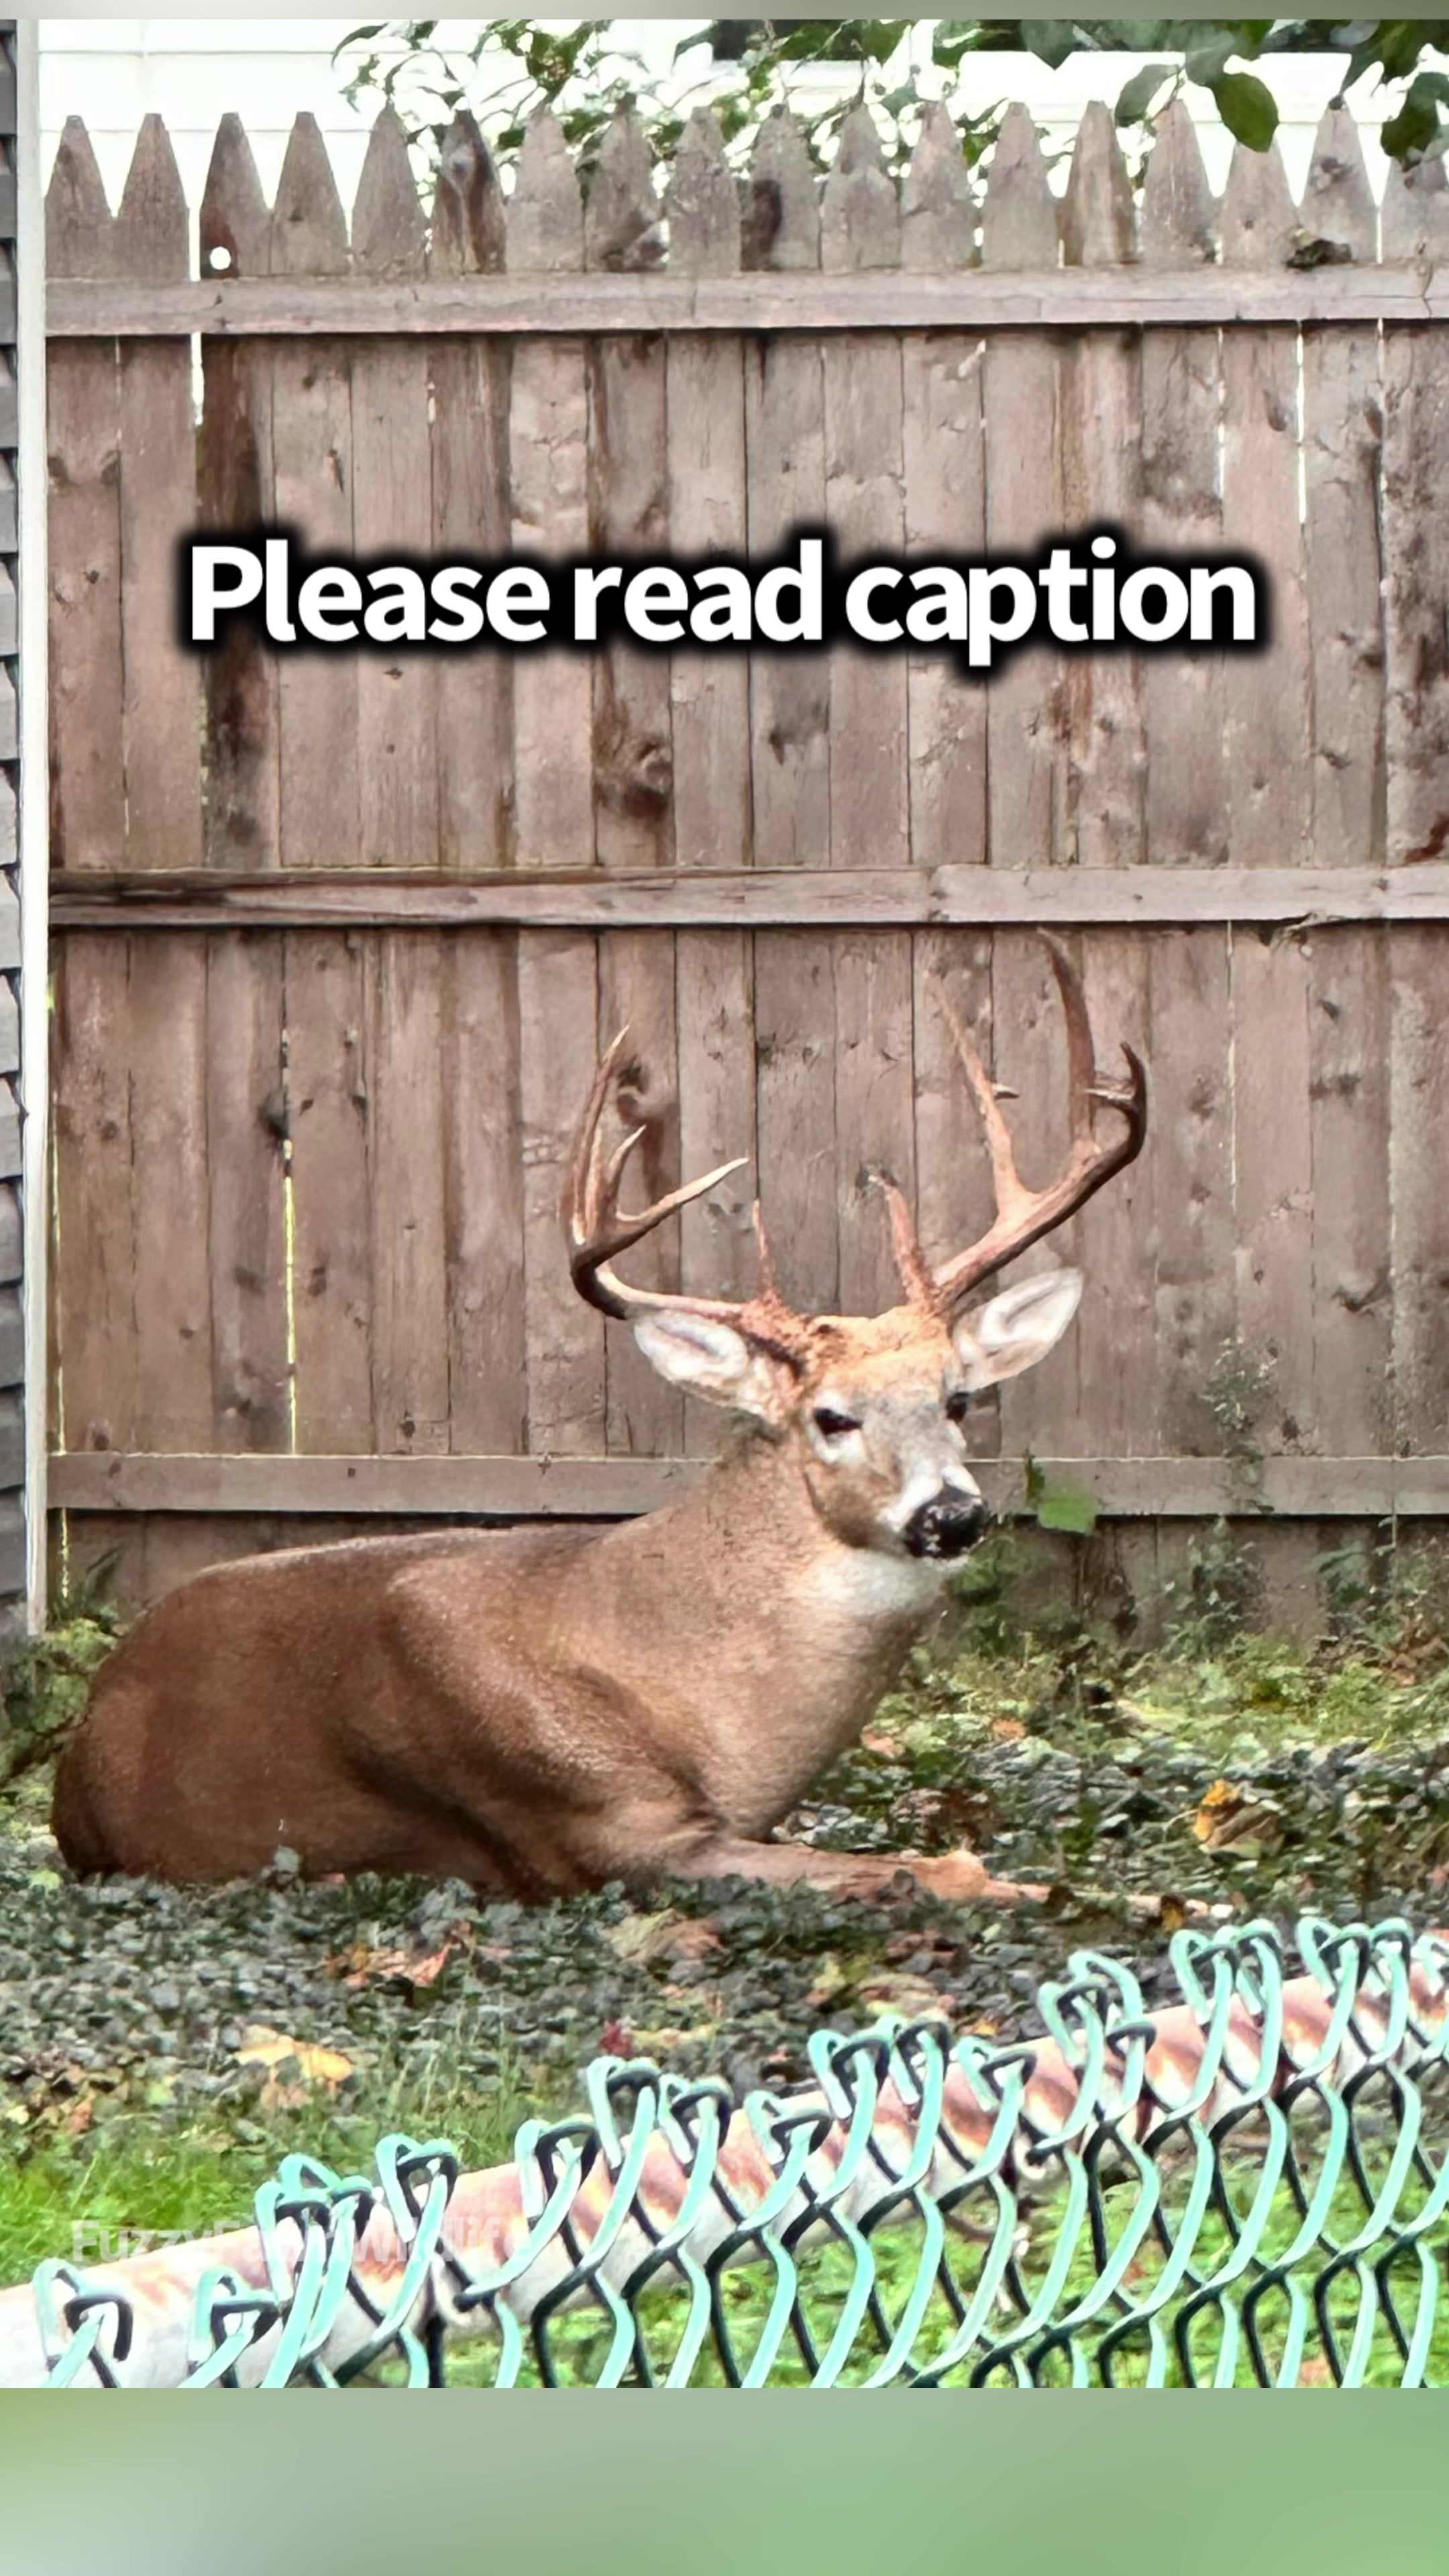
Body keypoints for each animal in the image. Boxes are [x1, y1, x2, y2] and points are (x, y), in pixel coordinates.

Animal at [52, 936, 1145, 1911]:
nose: (952, 1513)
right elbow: (925, 1870)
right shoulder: (608, 1827)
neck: (691, 1695)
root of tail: (78, 1753)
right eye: (832, 1417)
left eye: (957, 1398)